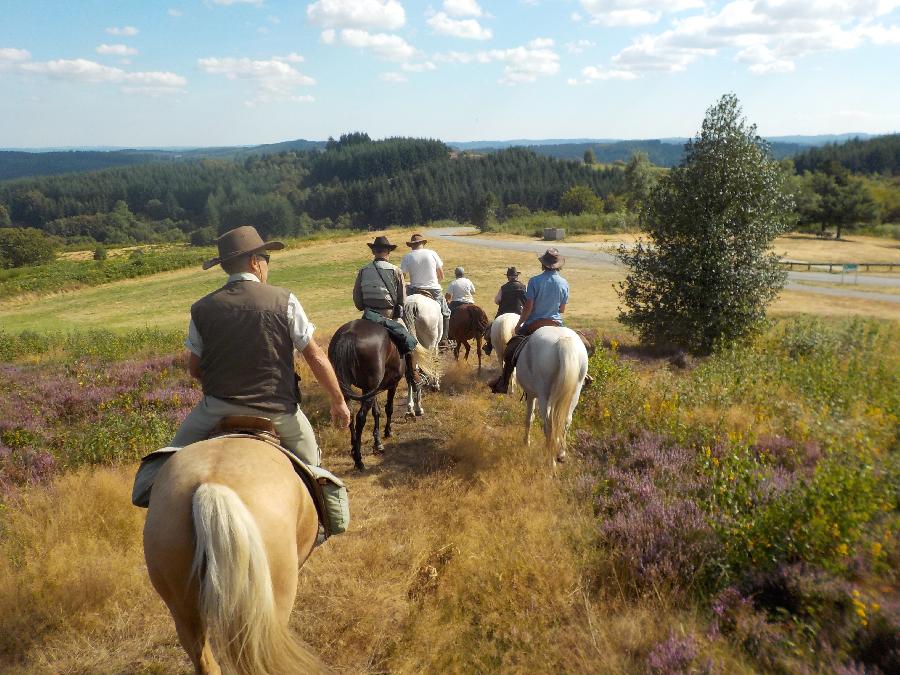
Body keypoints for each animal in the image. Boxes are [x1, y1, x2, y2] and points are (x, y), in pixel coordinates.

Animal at [326, 320, 404, 470]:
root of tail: (350, 333)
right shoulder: (392, 384)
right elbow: (389, 408)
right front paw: (387, 432)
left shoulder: (370, 390)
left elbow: (376, 412)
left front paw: (377, 443)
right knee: (360, 417)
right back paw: (358, 460)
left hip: (347, 388)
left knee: (349, 414)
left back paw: (354, 447)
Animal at [512, 326, 592, 464]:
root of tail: (563, 342)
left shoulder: (531, 394)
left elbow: (529, 418)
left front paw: (526, 442)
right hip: (574, 394)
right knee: (566, 420)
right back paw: (560, 454)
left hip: (544, 395)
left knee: (549, 423)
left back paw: (550, 459)